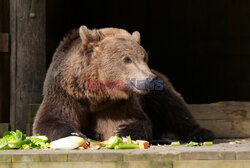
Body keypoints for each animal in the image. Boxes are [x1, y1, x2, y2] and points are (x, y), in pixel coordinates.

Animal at [32, 25, 214, 144]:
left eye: (144, 57)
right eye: (126, 59)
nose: (149, 79)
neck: (96, 95)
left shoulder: (117, 103)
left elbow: (135, 120)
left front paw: (123, 129)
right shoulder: (66, 93)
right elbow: (50, 120)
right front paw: (77, 135)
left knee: (173, 106)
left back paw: (202, 133)